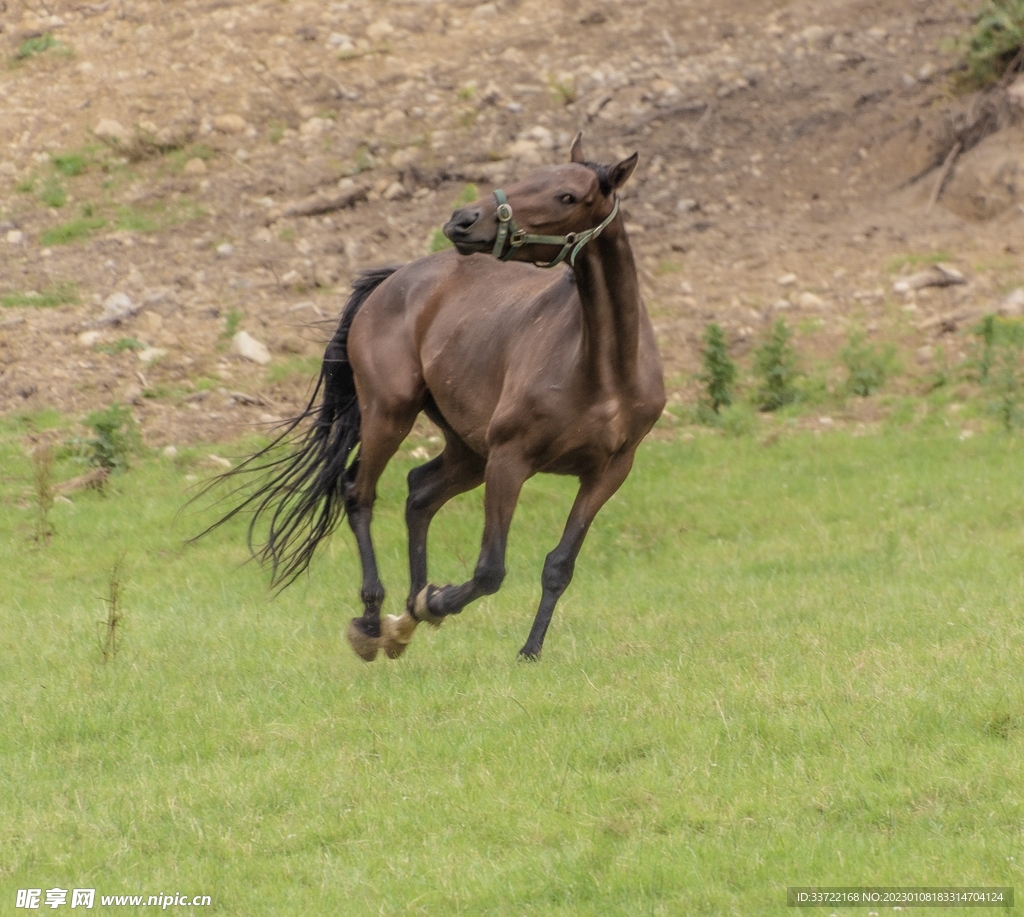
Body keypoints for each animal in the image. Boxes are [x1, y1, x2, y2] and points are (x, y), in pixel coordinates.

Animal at [202, 134, 665, 661]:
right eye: (527, 176)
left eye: (567, 196)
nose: (462, 220)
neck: (603, 370)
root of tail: (392, 280)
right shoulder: (510, 459)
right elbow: (490, 570)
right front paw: (437, 601)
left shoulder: (607, 473)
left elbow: (559, 566)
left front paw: (528, 650)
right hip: (391, 414)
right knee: (358, 491)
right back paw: (373, 621)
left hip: (467, 449)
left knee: (420, 492)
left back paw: (405, 616)